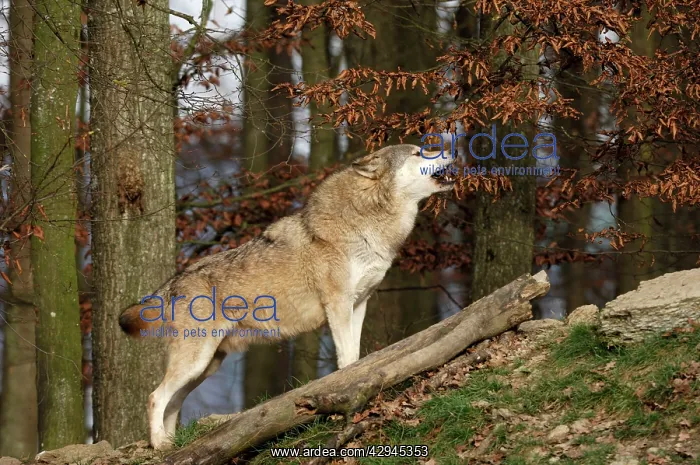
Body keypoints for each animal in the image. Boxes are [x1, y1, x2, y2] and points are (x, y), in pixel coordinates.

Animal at [118, 144, 455, 449]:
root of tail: (175, 280)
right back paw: (160, 445)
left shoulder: (359, 304)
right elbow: (347, 358)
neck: (366, 224)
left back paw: (171, 443)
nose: (452, 149)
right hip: (196, 361)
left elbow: (357, 355)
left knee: (173, 402)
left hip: (205, 366)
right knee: (155, 396)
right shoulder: (338, 305)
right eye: (418, 152)